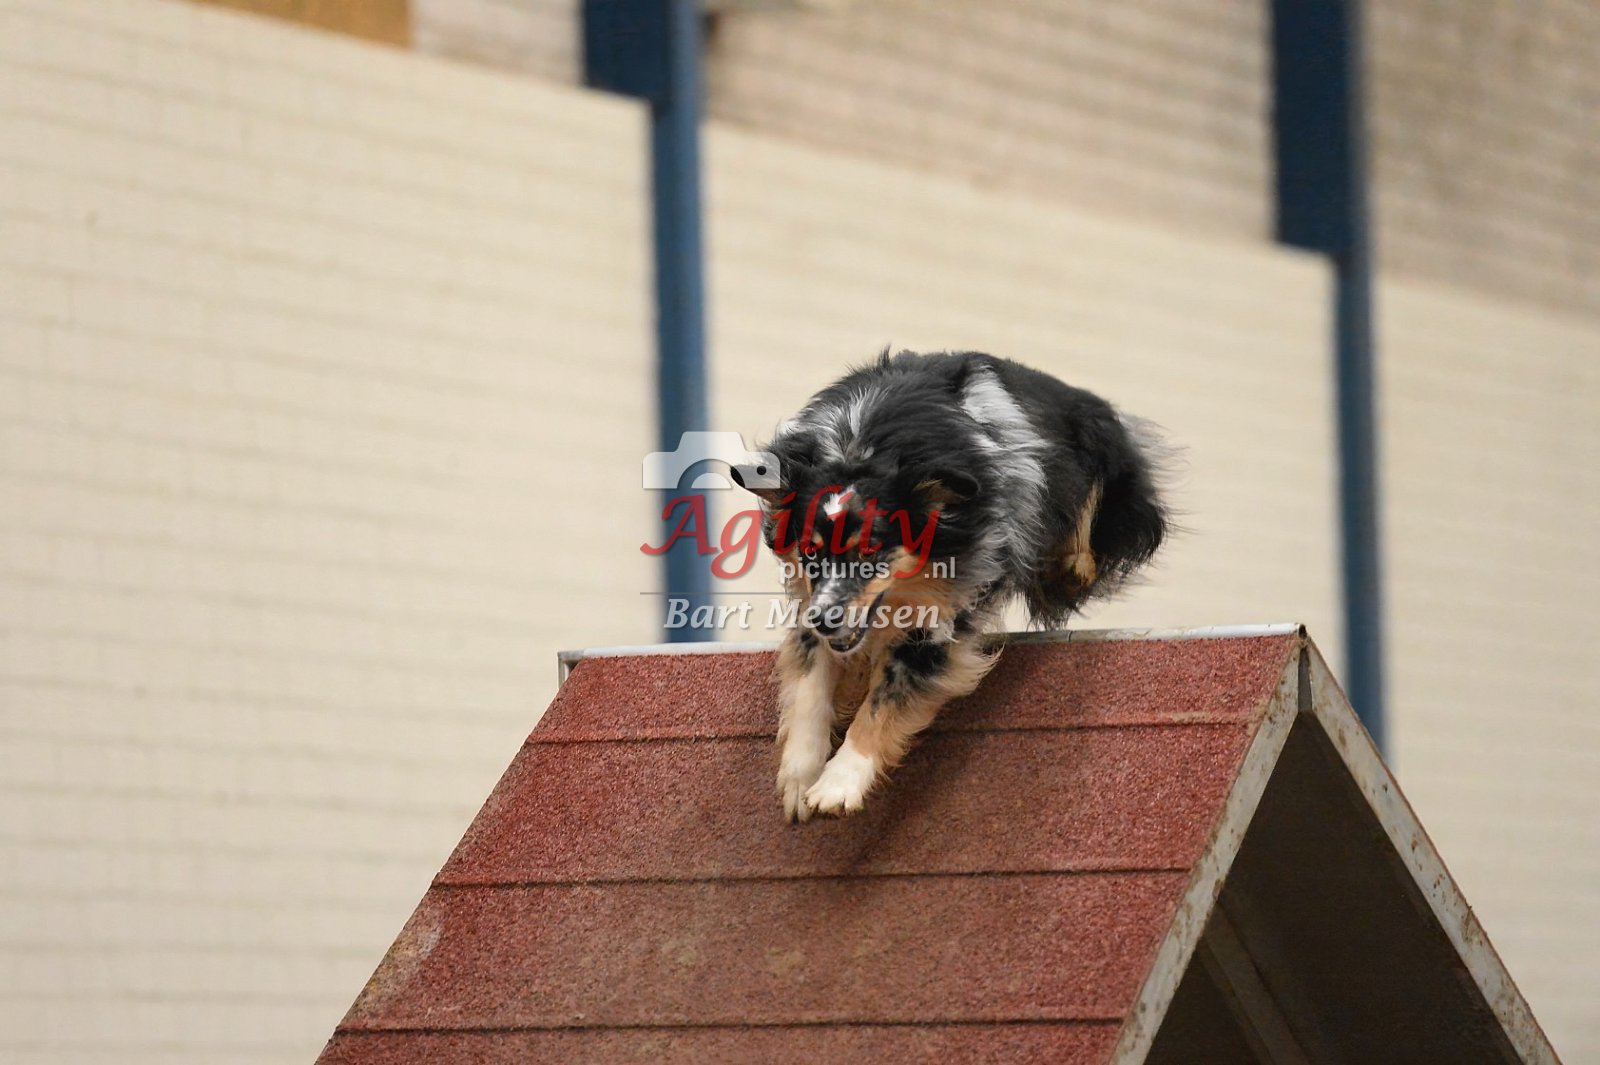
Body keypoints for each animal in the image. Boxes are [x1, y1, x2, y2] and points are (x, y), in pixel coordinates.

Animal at [733, 350, 1171, 821]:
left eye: (871, 551)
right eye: (811, 554)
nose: (826, 621)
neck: (862, 445)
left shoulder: (944, 618)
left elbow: (883, 702)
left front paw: (838, 783)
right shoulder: (810, 602)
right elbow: (810, 683)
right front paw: (800, 776)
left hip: (1098, 458)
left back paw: (1074, 562)